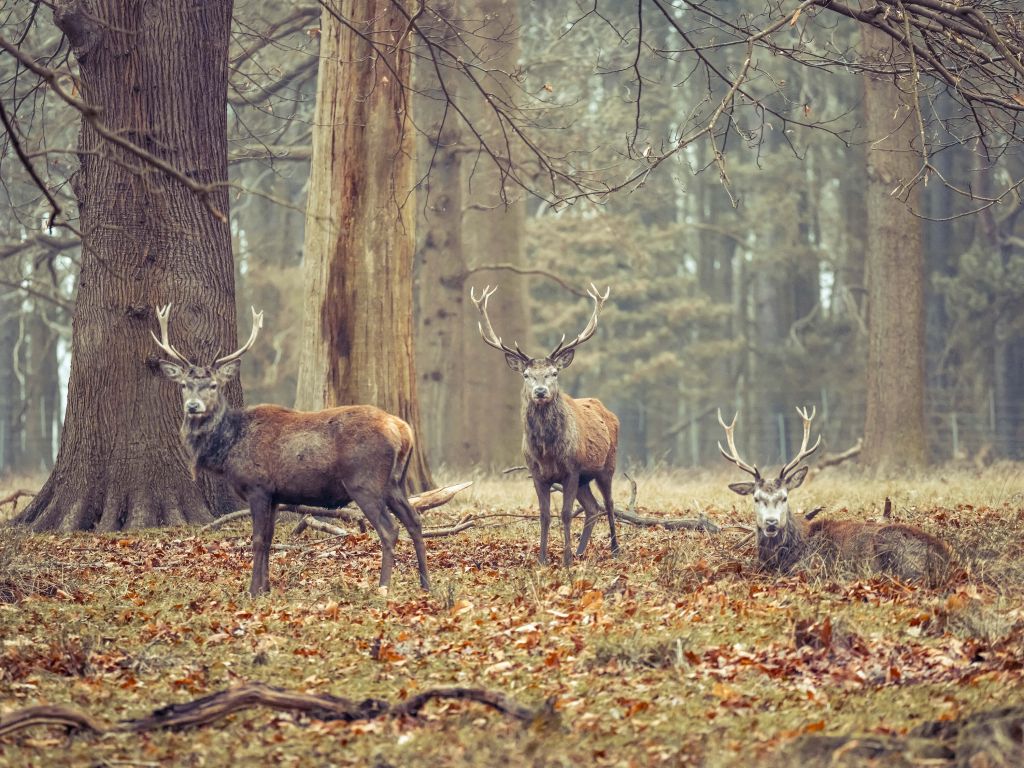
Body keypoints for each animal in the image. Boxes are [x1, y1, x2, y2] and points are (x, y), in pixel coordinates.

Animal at [149, 303, 430, 598]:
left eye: (213, 385)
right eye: (184, 385)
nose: (193, 406)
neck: (228, 449)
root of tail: (403, 430)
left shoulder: (258, 487)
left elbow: (258, 539)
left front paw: (252, 591)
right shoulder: (275, 495)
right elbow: (269, 538)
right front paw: (266, 587)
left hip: (364, 481)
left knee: (389, 529)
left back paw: (383, 586)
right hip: (394, 482)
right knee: (414, 521)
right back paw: (426, 583)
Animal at [468, 282, 618, 565]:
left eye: (554, 373)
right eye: (526, 375)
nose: (539, 391)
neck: (548, 452)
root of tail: (607, 410)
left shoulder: (572, 470)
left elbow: (566, 513)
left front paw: (566, 559)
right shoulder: (537, 474)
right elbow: (544, 515)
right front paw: (542, 558)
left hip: (607, 465)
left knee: (610, 504)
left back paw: (614, 549)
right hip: (585, 479)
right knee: (593, 508)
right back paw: (581, 551)